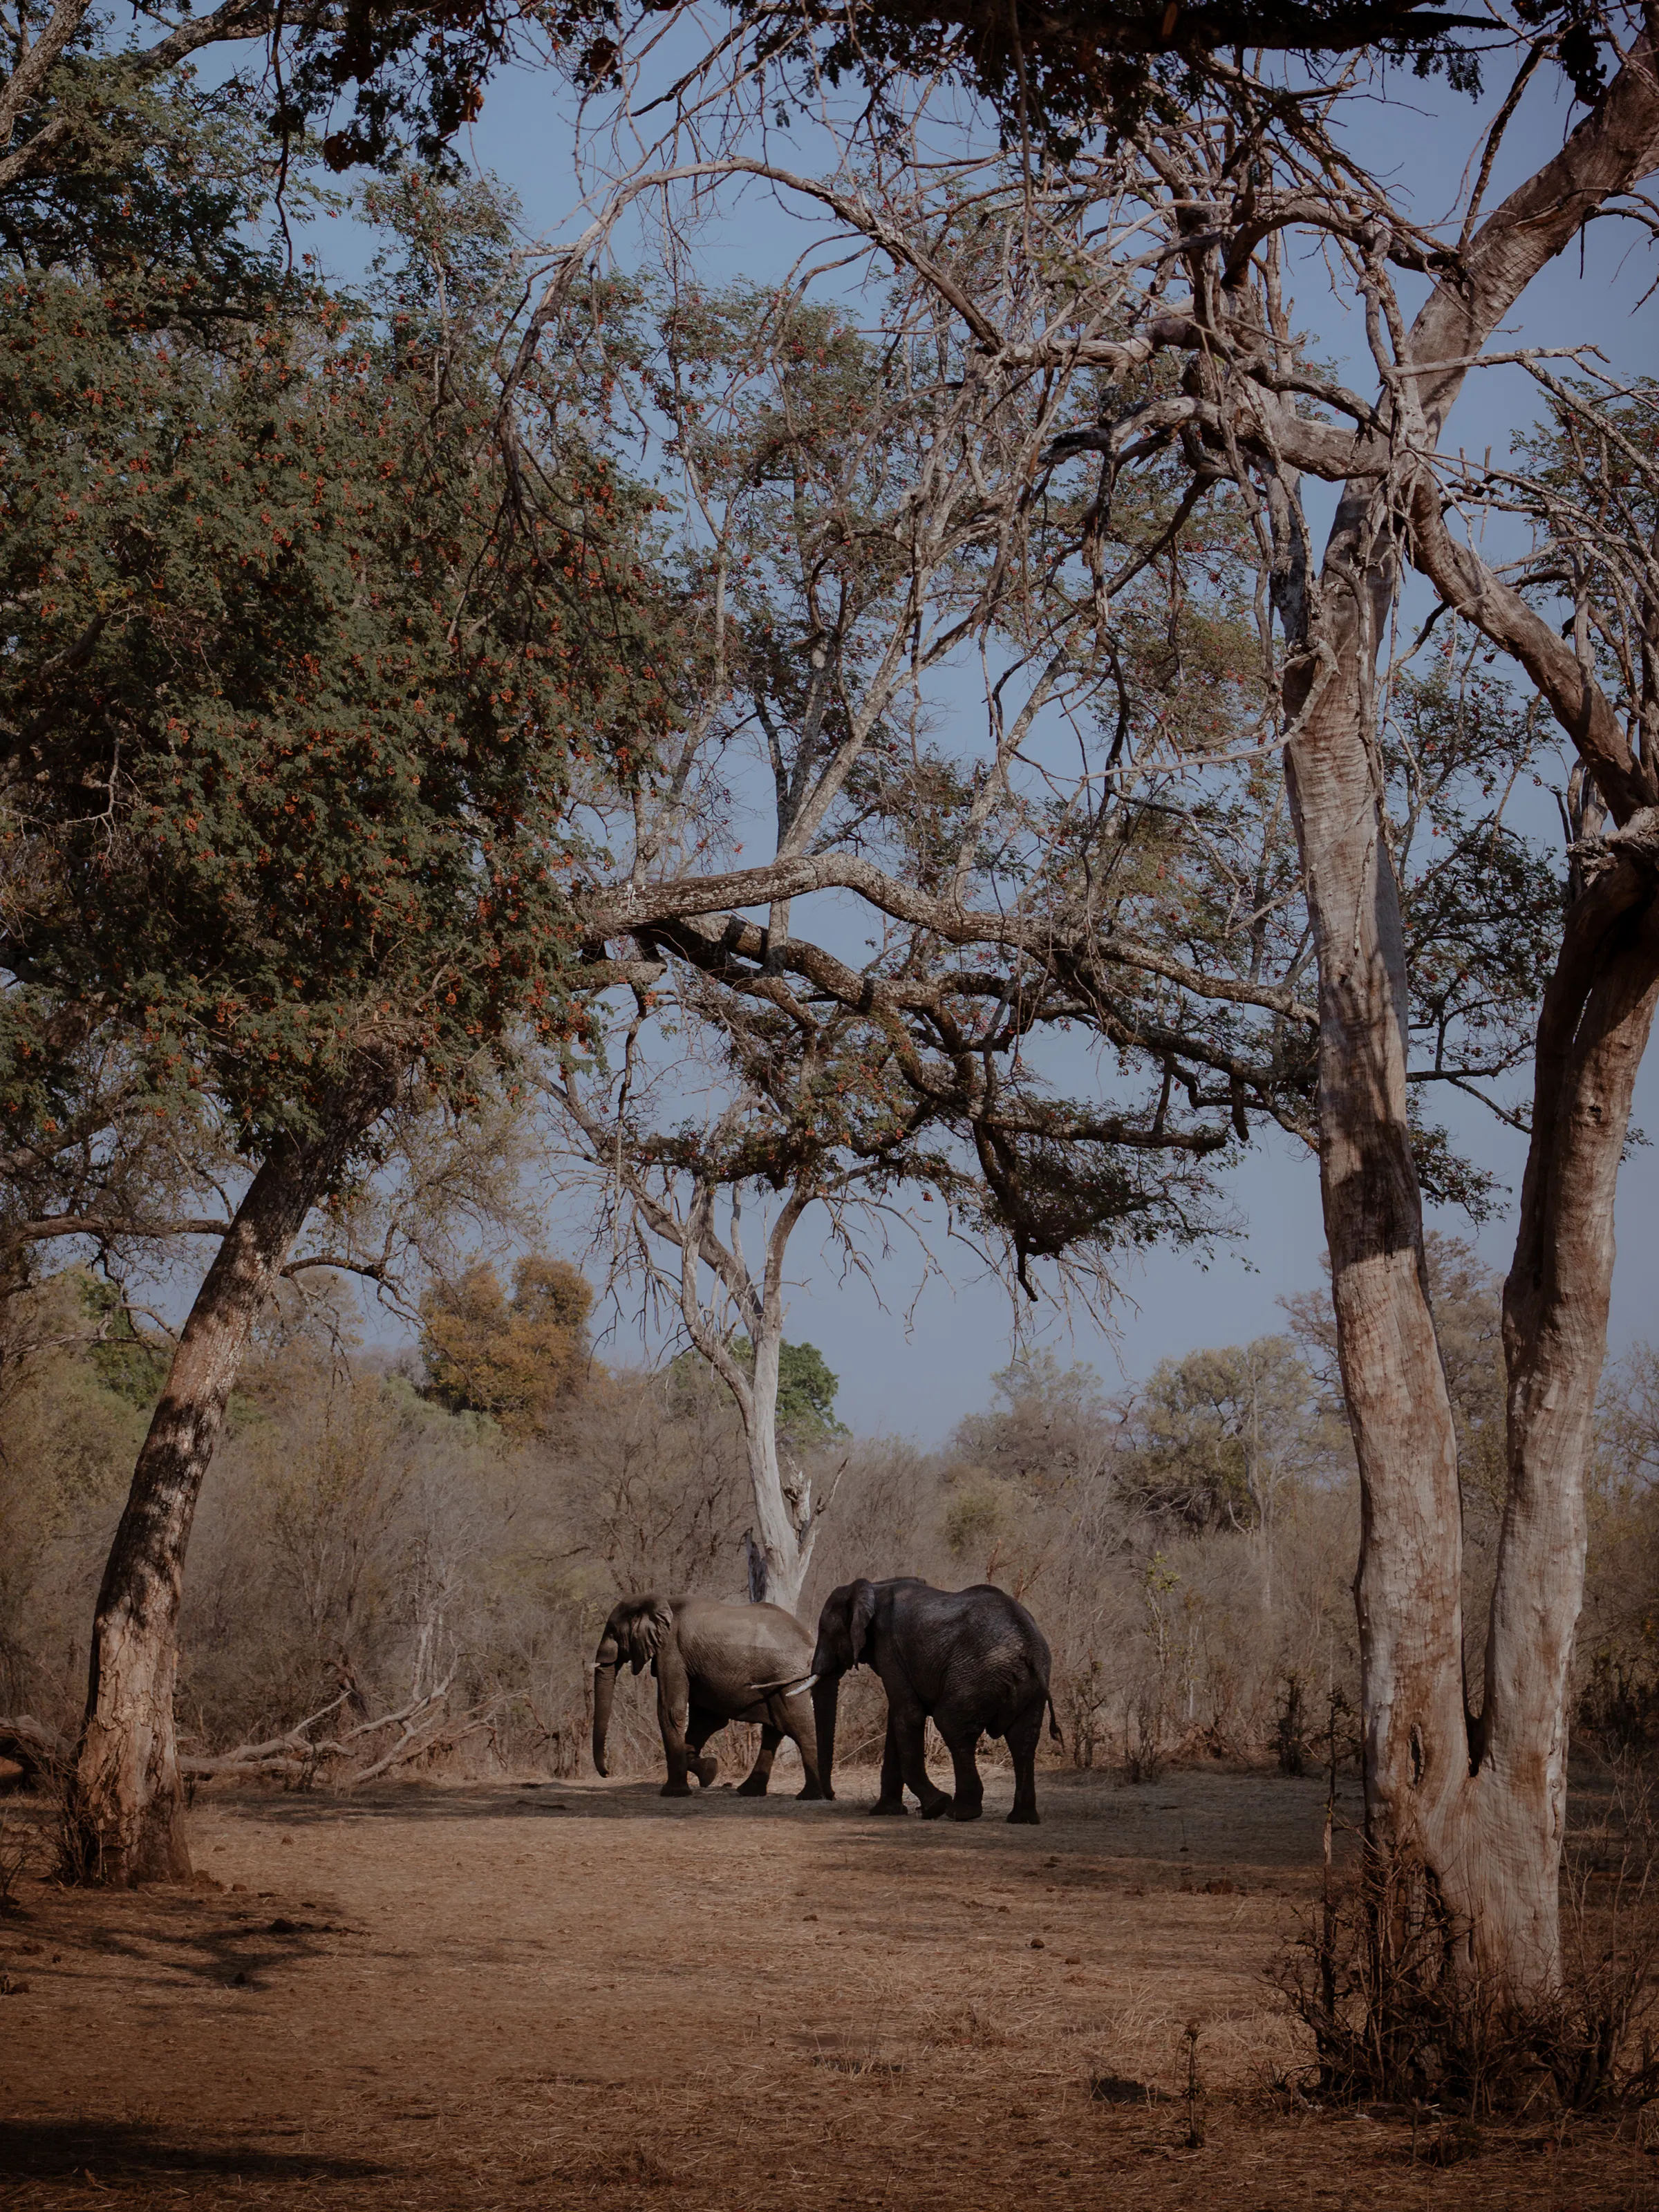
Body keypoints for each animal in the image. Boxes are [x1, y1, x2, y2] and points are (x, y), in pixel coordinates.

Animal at [591, 1593, 827, 1799]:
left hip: (786, 1677)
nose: (607, 1773)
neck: (658, 1600)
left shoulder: (671, 1651)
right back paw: (750, 1792)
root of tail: (809, 1644)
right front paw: (709, 1771)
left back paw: (811, 1796)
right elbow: (707, 1720)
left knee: (797, 1727)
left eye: (613, 1632)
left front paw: (674, 1793)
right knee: (775, 1730)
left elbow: (671, 1711)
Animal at [810, 1577, 1059, 1824]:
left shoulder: (888, 1646)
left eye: (824, 1630)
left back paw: (960, 1813)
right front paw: (886, 1811)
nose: (831, 1795)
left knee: (951, 1725)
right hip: (1032, 1683)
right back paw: (1022, 1818)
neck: (874, 1586)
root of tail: (1029, 1645)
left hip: (977, 1674)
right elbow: (898, 1718)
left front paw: (934, 1807)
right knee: (1023, 1739)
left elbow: (908, 1715)